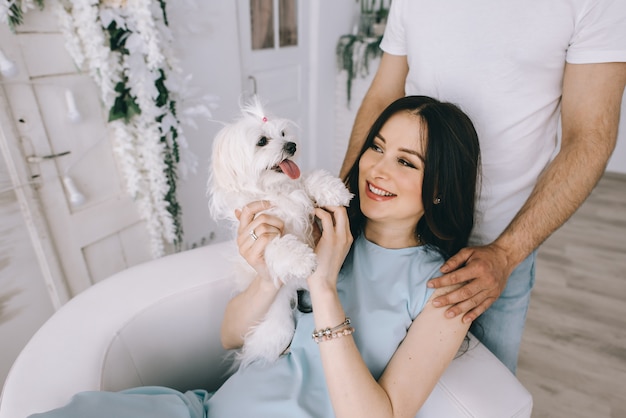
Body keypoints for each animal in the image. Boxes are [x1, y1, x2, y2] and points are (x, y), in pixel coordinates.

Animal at [208, 95, 352, 366]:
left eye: (284, 134)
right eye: (262, 141)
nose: (292, 145)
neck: (276, 191)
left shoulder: (300, 195)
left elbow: (310, 179)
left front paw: (334, 190)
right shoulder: (261, 228)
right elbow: (279, 245)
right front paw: (304, 260)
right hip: (279, 328)